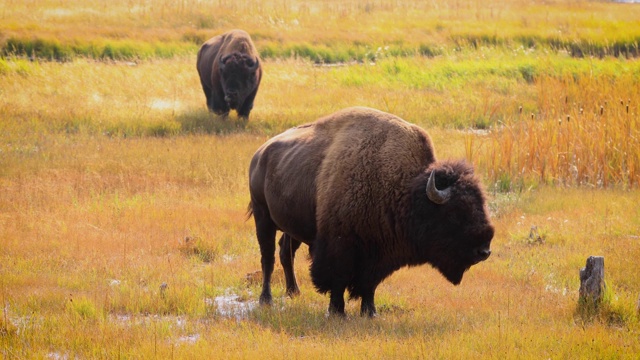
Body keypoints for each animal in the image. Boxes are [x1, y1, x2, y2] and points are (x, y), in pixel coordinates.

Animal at [246, 107, 496, 318]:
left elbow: (369, 284)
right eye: (455, 213)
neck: (405, 189)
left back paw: (294, 292)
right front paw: (337, 312)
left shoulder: (377, 253)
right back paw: (266, 299)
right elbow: (337, 279)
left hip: (291, 226)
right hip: (263, 217)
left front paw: (370, 312)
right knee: (268, 258)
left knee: (285, 252)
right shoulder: (339, 246)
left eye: (481, 205)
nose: (484, 251)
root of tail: (259, 154)